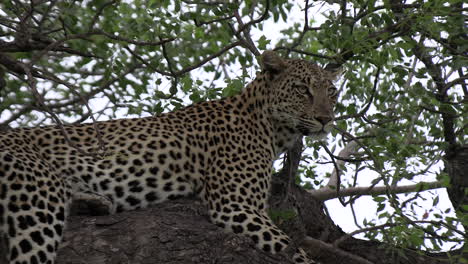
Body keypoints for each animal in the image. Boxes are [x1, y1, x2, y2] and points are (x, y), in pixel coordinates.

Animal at [0, 50, 338, 262]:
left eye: (332, 92)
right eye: (303, 89)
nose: (326, 119)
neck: (271, 128)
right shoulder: (236, 205)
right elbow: (296, 253)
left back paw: (93, 200)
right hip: (37, 201)